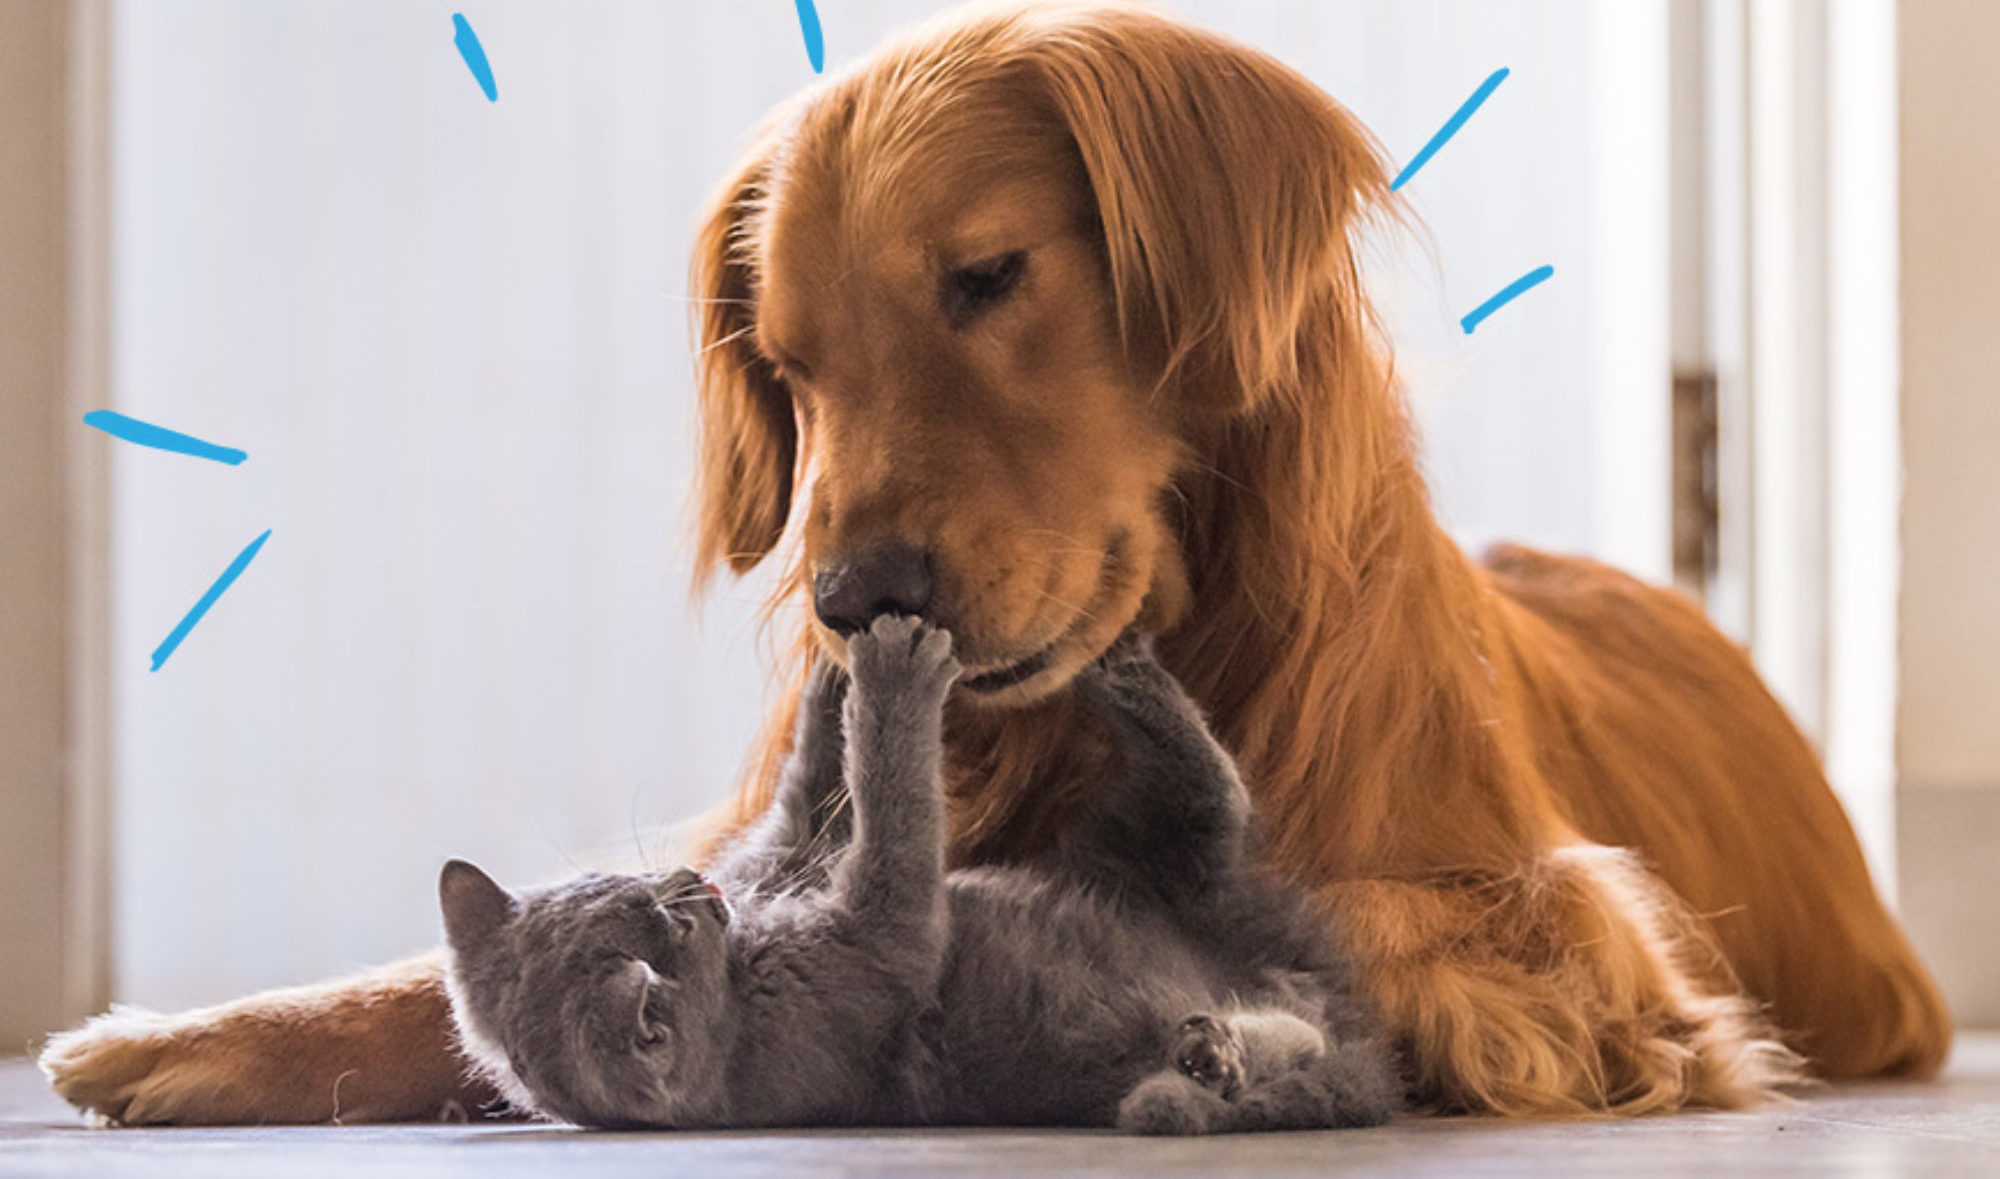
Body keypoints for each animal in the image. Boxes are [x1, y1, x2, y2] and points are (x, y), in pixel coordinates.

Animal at [444, 619, 1400, 1135]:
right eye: (665, 935)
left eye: (632, 893)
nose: (693, 889)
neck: (745, 975)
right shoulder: (863, 956)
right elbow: (895, 816)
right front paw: (892, 668)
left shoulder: (782, 863)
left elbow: (810, 798)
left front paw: (829, 670)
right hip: (1180, 890)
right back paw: (1213, 1050)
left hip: (1156, 859)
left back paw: (1119, 668)